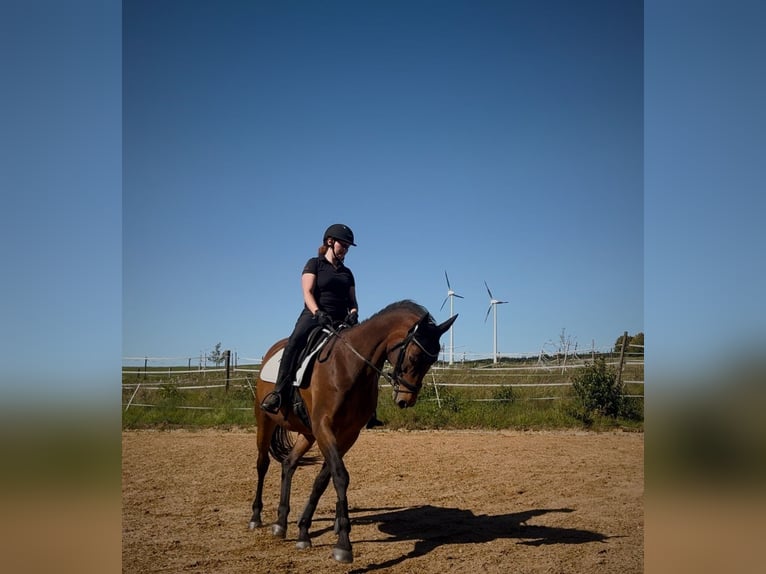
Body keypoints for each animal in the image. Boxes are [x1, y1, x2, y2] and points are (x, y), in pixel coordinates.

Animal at [248, 300, 457, 563]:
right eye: (414, 356)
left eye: (432, 360)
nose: (405, 400)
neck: (349, 365)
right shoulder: (325, 427)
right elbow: (340, 476)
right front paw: (343, 545)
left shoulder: (348, 434)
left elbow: (323, 479)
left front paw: (304, 530)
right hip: (265, 420)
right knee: (262, 464)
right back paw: (256, 517)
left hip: (307, 433)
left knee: (289, 464)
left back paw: (281, 523)